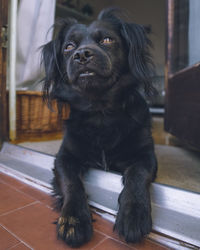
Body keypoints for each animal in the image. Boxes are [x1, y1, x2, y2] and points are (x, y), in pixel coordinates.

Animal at [42, 7, 157, 248]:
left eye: (107, 40)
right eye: (69, 47)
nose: (82, 55)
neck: (100, 110)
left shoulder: (145, 154)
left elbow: (138, 173)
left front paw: (134, 214)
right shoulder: (63, 157)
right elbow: (71, 183)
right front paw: (73, 220)